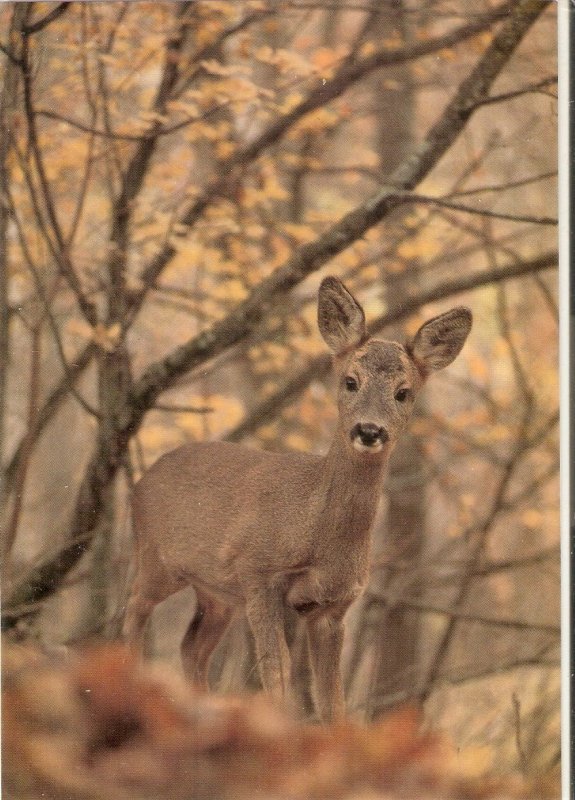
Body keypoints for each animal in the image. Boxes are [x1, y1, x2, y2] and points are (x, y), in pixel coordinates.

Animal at [122, 278, 472, 720]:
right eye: (350, 380)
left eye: (404, 392)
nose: (369, 430)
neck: (315, 531)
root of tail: (141, 482)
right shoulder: (257, 572)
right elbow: (277, 671)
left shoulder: (332, 606)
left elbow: (332, 697)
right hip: (157, 559)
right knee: (134, 608)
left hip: (216, 593)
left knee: (191, 647)